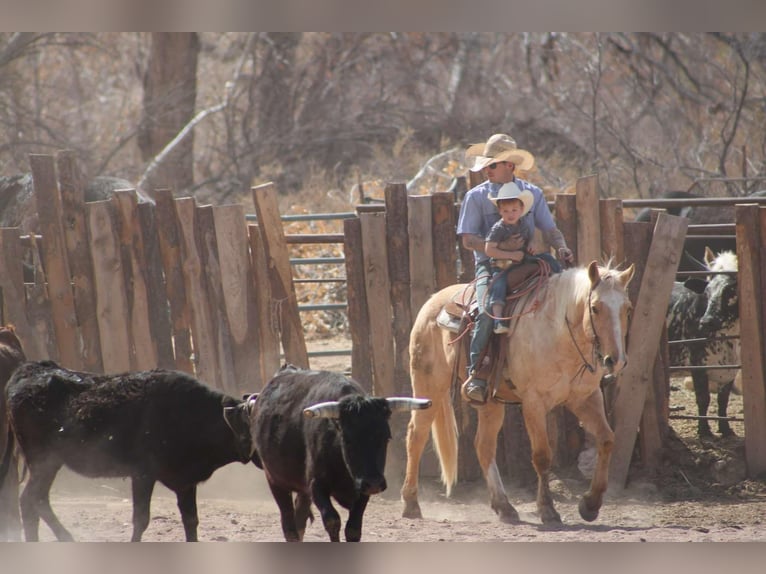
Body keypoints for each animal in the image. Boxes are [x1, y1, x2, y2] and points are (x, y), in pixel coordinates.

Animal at [400, 260, 635, 525]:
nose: (616, 360)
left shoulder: (586, 398)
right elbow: (542, 455)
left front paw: (590, 504)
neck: (558, 332)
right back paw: (411, 504)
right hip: (429, 385)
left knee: (483, 446)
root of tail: (432, 302)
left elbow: (606, 439)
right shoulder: (534, 403)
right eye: (595, 308)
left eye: (627, 308)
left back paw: (504, 507)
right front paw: (548, 510)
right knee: (416, 436)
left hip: (490, 402)